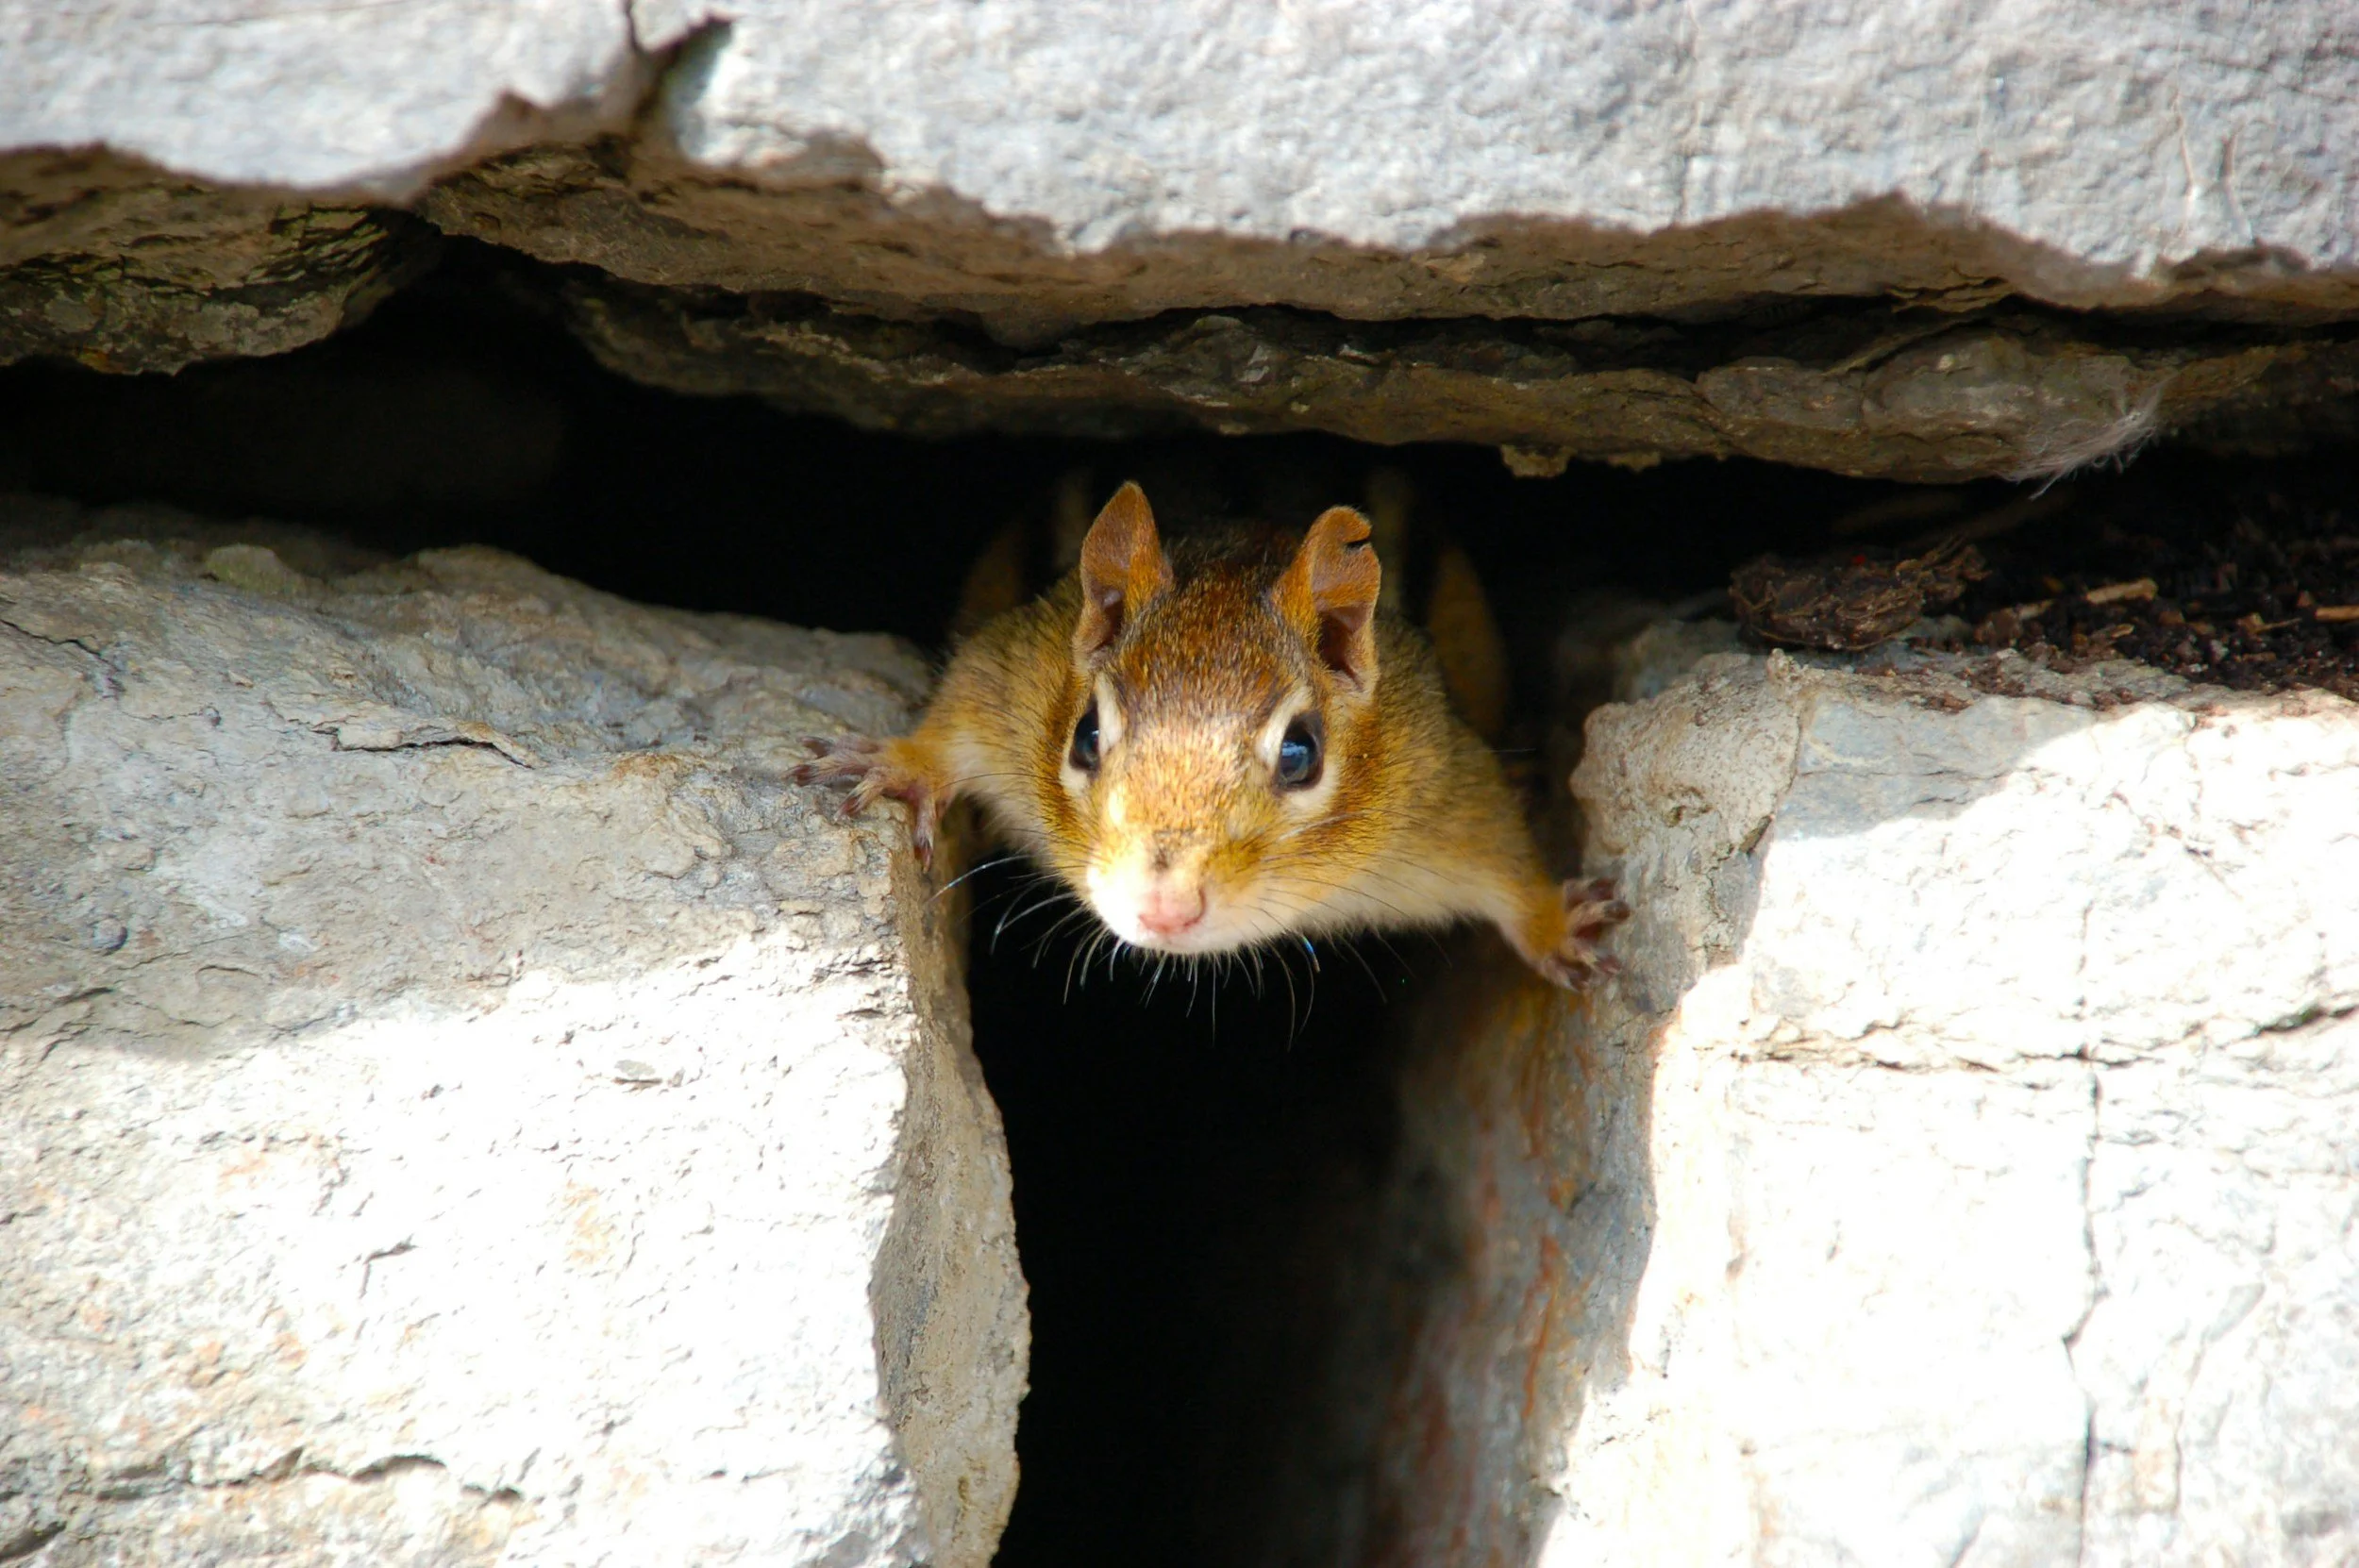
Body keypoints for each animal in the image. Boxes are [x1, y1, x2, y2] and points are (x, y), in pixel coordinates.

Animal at [793, 481, 1627, 989]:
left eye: (1301, 753)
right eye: (1086, 735)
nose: (1163, 909)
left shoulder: (1439, 785)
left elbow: (1502, 849)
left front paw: (1559, 922)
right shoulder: (1014, 670)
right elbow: (959, 707)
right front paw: (897, 764)